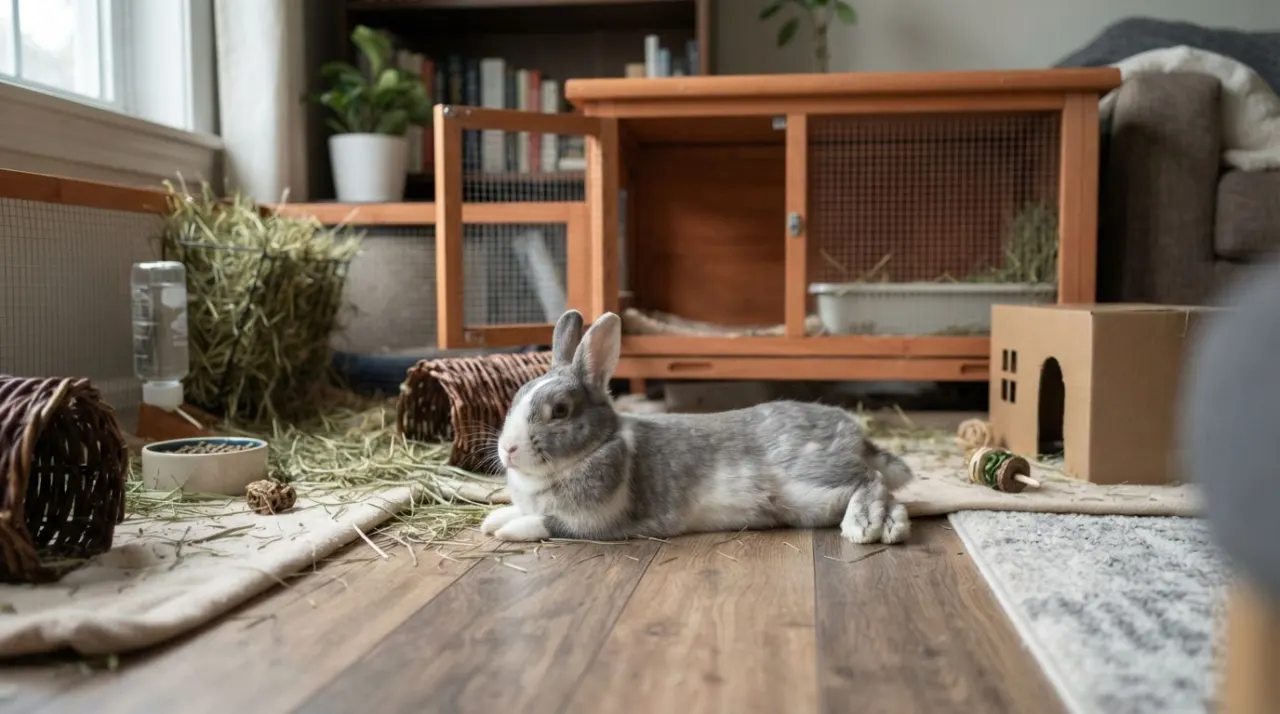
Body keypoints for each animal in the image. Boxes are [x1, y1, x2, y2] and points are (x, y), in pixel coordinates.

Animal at [479, 309, 914, 545]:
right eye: (516, 396)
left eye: (560, 411)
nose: (507, 450)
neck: (600, 445)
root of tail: (855, 435)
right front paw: (492, 521)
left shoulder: (597, 522)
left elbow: (545, 523)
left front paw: (506, 531)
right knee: (887, 492)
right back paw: (889, 527)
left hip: (813, 483)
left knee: (871, 481)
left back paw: (864, 527)